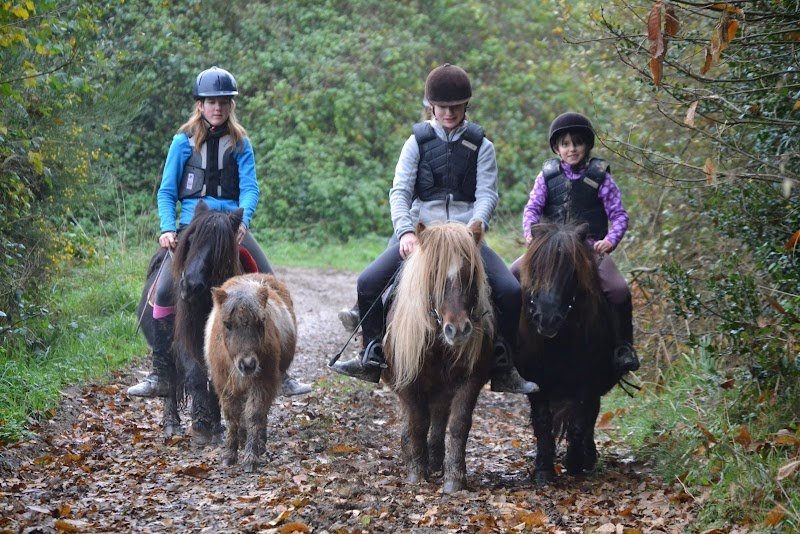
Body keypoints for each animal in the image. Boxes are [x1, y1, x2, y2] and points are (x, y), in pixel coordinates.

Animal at [136, 200, 244, 442]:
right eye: (191, 240)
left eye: (220, 248)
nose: (190, 286)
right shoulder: (183, 343)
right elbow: (195, 375)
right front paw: (201, 424)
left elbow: (215, 381)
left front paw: (216, 425)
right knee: (169, 379)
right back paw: (171, 423)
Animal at [204, 273, 297, 472]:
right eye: (227, 324)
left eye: (261, 323)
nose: (248, 365)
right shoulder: (224, 386)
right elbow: (232, 418)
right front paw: (230, 454)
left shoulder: (263, 383)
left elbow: (254, 415)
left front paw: (251, 456)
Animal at [382, 221, 494, 493]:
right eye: (434, 274)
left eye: (469, 274)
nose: (458, 330)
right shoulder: (407, 381)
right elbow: (418, 422)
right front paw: (416, 471)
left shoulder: (471, 380)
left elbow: (458, 424)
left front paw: (454, 477)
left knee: (440, 418)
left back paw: (435, 460)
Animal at [515, 222, 618, 484]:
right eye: (535, 267)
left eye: (572, 270)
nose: (547, 319)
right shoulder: (537, 381)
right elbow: (543, 422)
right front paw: (543, 470)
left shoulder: (587, 381)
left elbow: (579, 422)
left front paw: (574, 463)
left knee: (589, 417)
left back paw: (588, 457)